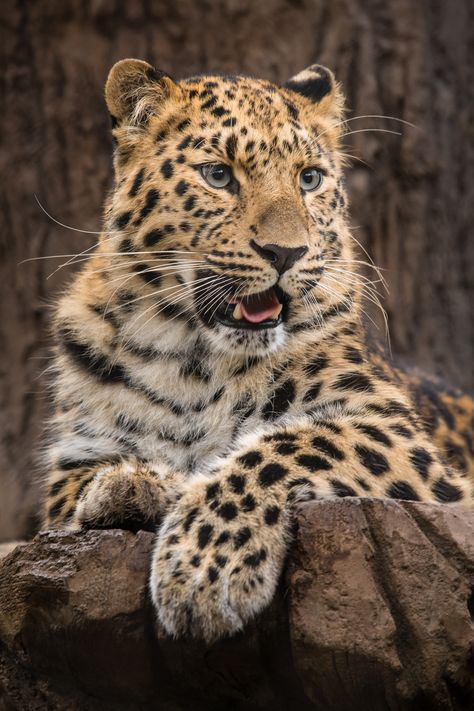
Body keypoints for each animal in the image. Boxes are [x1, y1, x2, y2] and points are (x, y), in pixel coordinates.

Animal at [41, 58, 474, 644]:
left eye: (309, 178)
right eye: (218, 176)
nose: (286, 252)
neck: (197, 363)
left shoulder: (396, 434)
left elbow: (284, 446)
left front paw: (204, 569)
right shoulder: (73, 464)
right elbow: (100, 482)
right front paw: (134, 485)